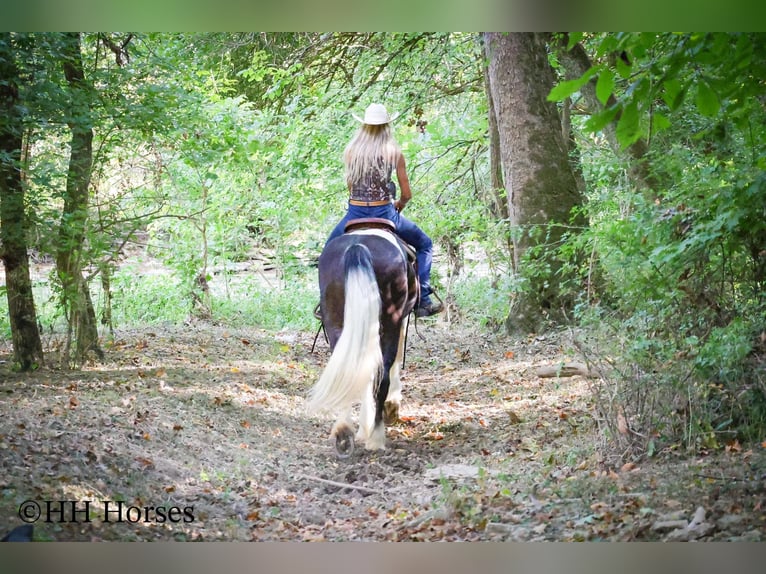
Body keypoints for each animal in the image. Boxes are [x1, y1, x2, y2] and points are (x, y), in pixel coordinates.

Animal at [307, 218, 418, 457]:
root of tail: (357, 246)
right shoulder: (400, 320)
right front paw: (391, 407)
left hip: (336, 321)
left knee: (348, 369)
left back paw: (343, 432)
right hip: (391, 319)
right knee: (382, 375)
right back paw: (376, 436)